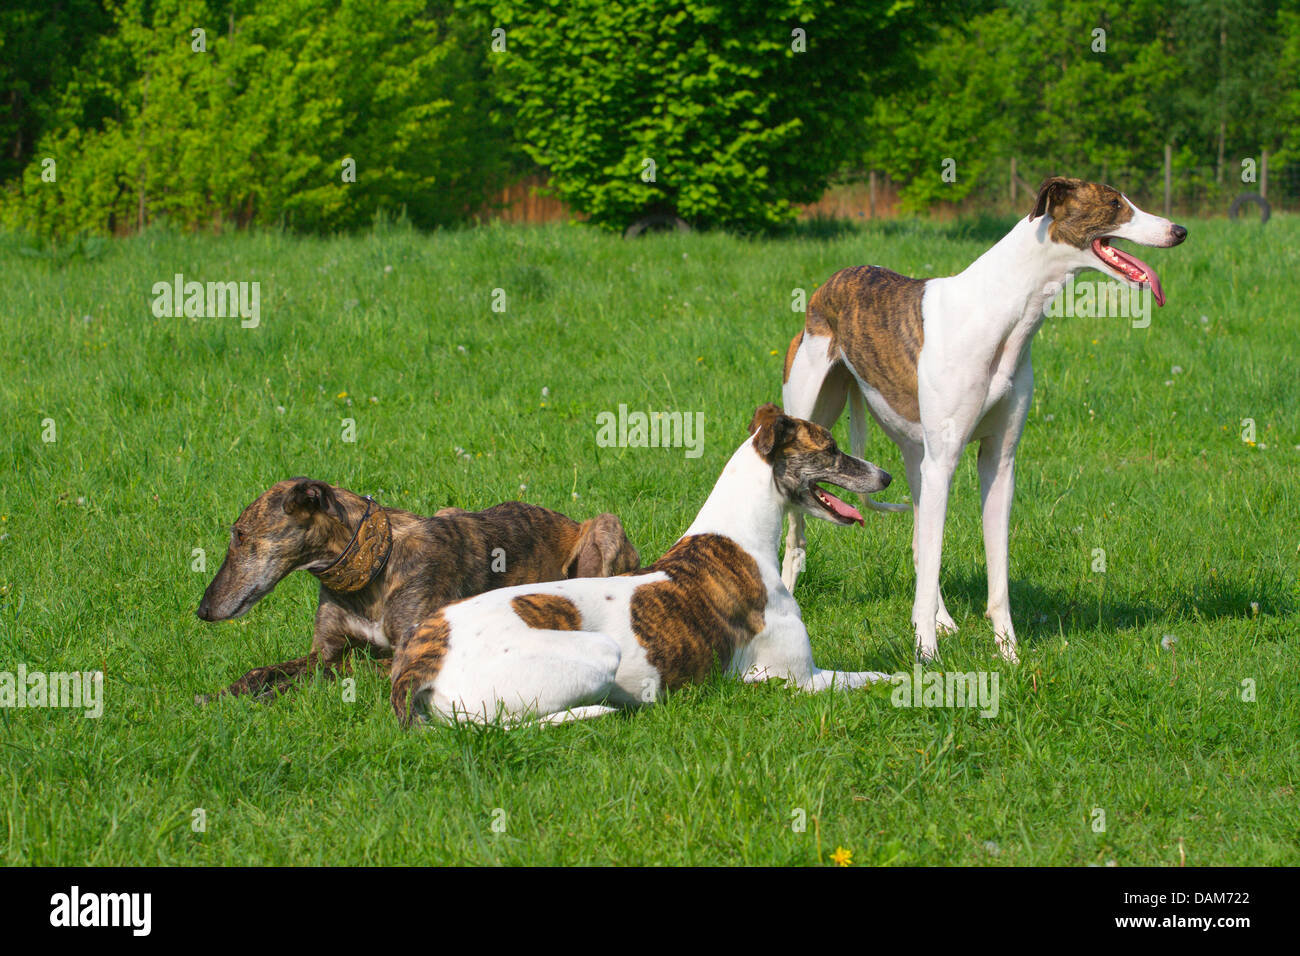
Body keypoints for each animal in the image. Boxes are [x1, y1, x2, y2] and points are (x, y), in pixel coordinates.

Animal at [196, 478, 639, 702]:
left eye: (240, 535)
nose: (202, 610)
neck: (374, 568)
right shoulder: (325, 648)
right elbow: (270, 669)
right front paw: (225, 693)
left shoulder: (400, 657)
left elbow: (336, 670)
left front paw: (271, 695)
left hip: (605, 527)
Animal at [384, 403, 894, 723]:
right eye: (830, 448)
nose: (887, 476)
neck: (739, 539)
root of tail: (420, 657)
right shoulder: (795, 679)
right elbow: (878, 677)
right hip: (597, 651)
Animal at [780, 178, 1190, 665]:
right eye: (1114, 204)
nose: (1180, 231)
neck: (1001, 314)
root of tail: (832, 282)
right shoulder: (944, 464)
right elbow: (935, 555)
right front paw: (927, 656)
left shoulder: (999, 460)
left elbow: (995, 569)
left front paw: (1007, 652)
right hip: (811, 419)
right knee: (797, 539)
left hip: (916, 455)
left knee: (920, 543)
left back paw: (942, 619)